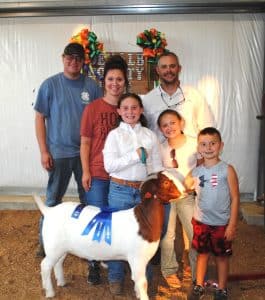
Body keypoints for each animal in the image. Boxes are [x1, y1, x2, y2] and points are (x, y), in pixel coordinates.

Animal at [34, 171, 184, 300]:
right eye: (165, 182)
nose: (185, 191)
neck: (144, 220)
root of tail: (48, 211)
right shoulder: (137, 258)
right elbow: (142, 282)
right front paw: (143, 296)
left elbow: (137, 281)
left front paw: (136, 293)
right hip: (53, 246)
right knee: (45, 266)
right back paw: (50, 292)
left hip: (61, 248)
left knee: (58, 263)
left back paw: (61, 282)